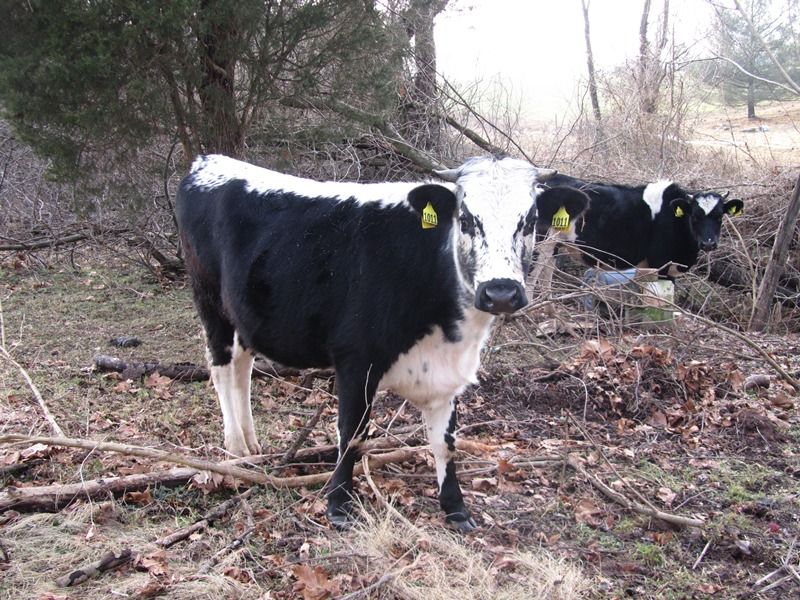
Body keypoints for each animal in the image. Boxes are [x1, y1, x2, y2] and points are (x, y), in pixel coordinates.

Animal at [175, 154, 589, 531]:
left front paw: (456, 509)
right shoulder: (355, 361)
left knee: (243, 367)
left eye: (530, 220)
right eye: (467, 219)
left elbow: (445, 442)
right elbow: (352, 434)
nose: (500, 291)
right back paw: (235, 448)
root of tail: (208, 161)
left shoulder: (448, 372)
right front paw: (339, 507)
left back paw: (252, 442)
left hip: (245, 315)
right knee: (221, 368)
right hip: (209, 300)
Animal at [537, 174, 743, 279]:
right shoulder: (660, 263)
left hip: (554, 246)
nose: (709, 243)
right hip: (542, 243)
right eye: (695, 216)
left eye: (719, 217)